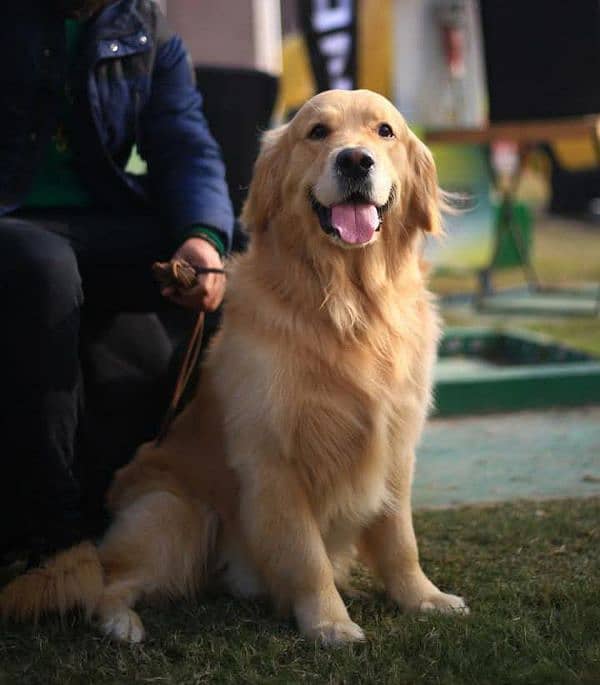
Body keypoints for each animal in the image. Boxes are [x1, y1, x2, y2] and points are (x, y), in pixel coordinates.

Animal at [0, 88, 468, 644]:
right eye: (317, 132)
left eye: (384, 131)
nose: (355, 159)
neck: (347, 304)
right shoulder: (273, 460)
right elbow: (305, 555)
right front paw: (329, 623)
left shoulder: (394, 447)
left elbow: (400, 542)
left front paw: (424, 598)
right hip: (175, 515)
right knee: (105, 580)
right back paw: (121, 624)